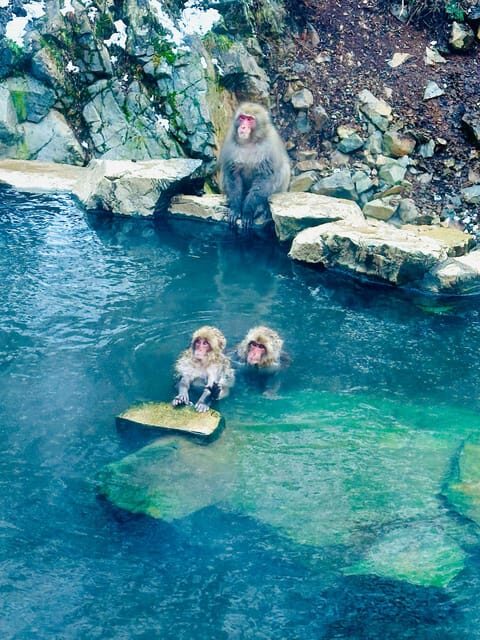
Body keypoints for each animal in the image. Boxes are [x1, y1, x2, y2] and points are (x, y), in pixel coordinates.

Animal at [218, 102, 291, 232]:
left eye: (250, 119)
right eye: (242, 117)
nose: (243, 127)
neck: (249, 142)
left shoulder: (269, 148)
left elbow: (265, 179)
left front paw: (247, 211)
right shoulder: (230, 144)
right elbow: (232, 175)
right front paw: (235, 208)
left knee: (283, 171)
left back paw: (263, 207)